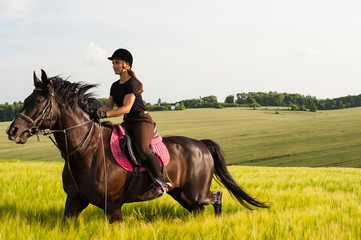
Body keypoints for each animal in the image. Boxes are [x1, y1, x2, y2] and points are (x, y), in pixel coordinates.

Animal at [6, 70, 268, 222]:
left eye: (39, 100)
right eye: (27, 99)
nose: (13, 131)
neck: (85, 150)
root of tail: (201, 145)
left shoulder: (112, 206)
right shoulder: (73, 202)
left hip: (196, 192)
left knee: (217, 197)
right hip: (182, 194)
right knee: (199, 210)